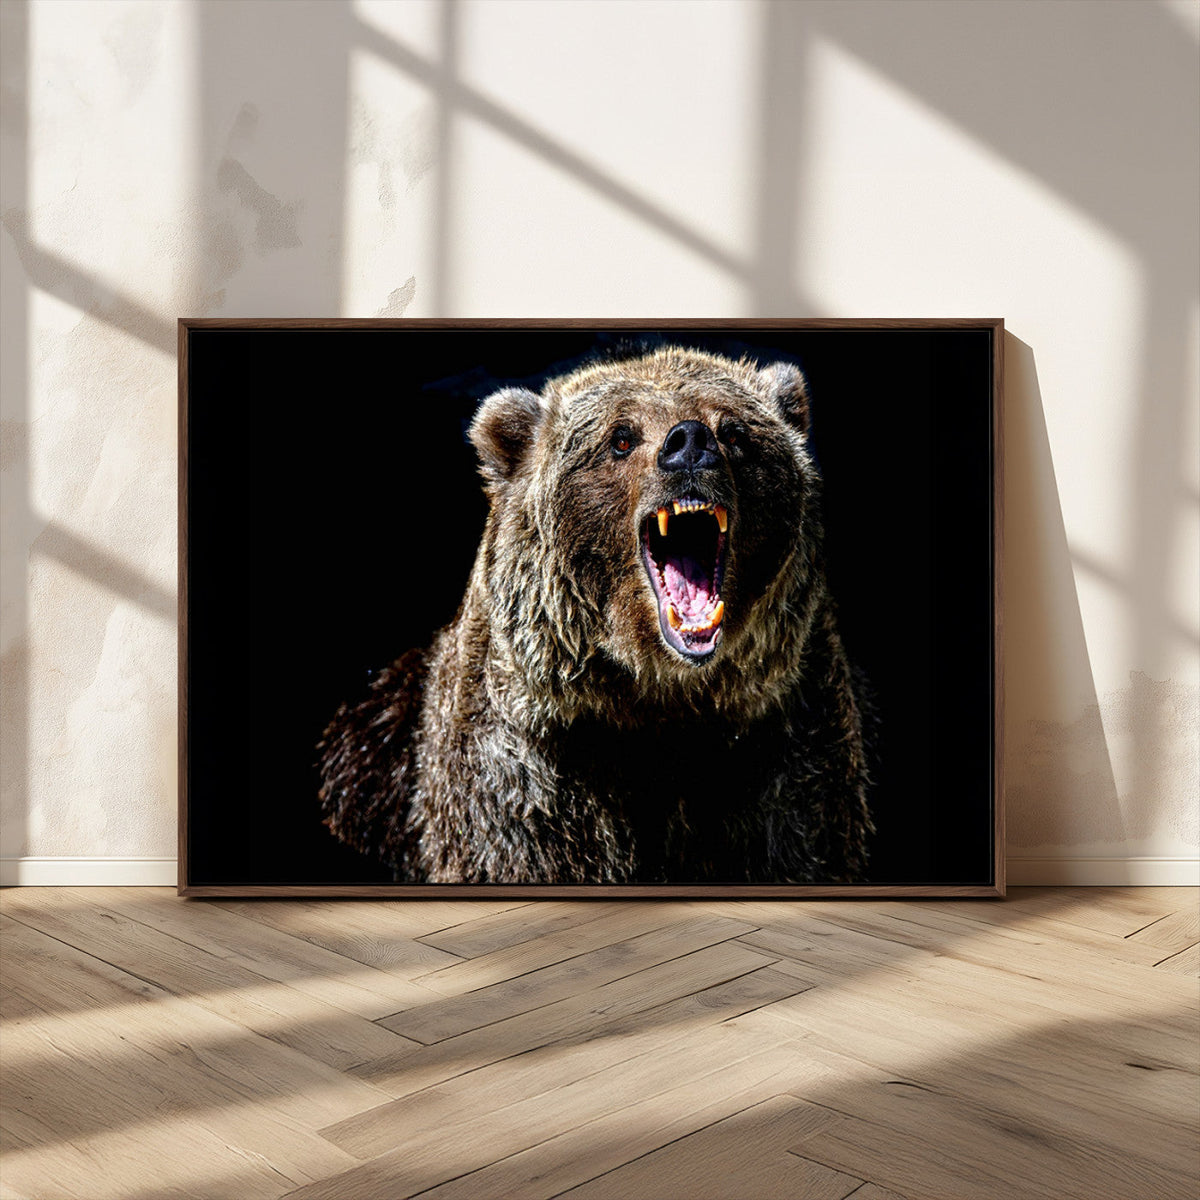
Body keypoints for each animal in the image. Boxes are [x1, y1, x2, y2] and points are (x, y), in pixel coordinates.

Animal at [317, 345, 874, 883]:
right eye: (621, 438)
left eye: (734, 431)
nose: (690, 443)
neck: (658, 701)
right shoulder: (528, 776)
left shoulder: (782, 754)